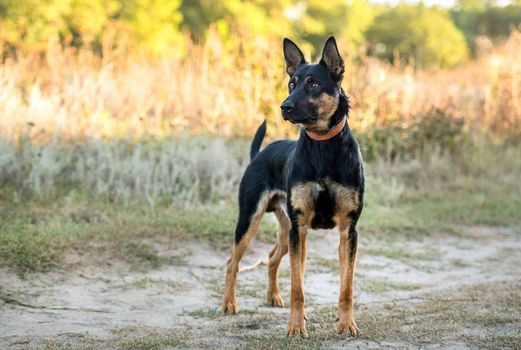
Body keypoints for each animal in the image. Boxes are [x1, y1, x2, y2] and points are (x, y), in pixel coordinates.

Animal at [221, 36, 364, 340]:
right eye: (291, 83)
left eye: (313, 84)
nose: (284, 107)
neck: (323, 145)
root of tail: (259, 154)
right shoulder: (300, 229)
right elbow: (297, 287)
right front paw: (296, 327)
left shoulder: (348, 230)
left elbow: (346, 286)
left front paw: (346, 323)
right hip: (252, 220)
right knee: (232, 262)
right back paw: (228, 303)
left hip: (288, 232)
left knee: (272, 257)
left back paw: (273, 296)